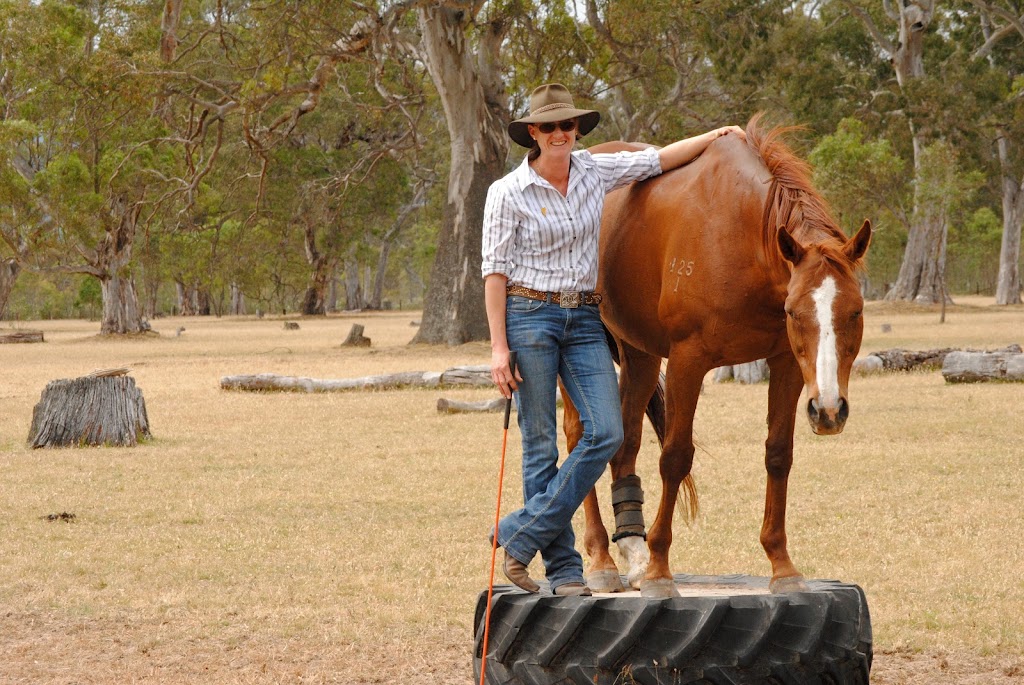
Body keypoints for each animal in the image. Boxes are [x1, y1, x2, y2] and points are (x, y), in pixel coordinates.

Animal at [562, 115, 872, 599]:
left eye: (855, 311)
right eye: (794, 311)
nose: (829, 410)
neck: (740, 234)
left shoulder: (786, 364)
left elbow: (778, 454)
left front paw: (781, 565)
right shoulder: (688, 361)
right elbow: (675, 457)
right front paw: (660, 570)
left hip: (639, 357)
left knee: (624, 441)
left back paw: (632, 550)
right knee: (582, 438)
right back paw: (601, 559)